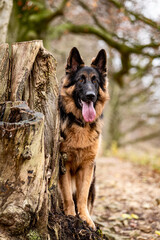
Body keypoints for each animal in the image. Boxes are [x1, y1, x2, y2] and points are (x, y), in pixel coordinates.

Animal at [58, 47, 109, 229]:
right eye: (80, 80)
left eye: (95, 81)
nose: (90, 96)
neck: (80, 124)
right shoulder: (63, 164)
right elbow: (67, 194)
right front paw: (71, 215)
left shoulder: (88, 166)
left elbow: (82, 195)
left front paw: (85, 218)